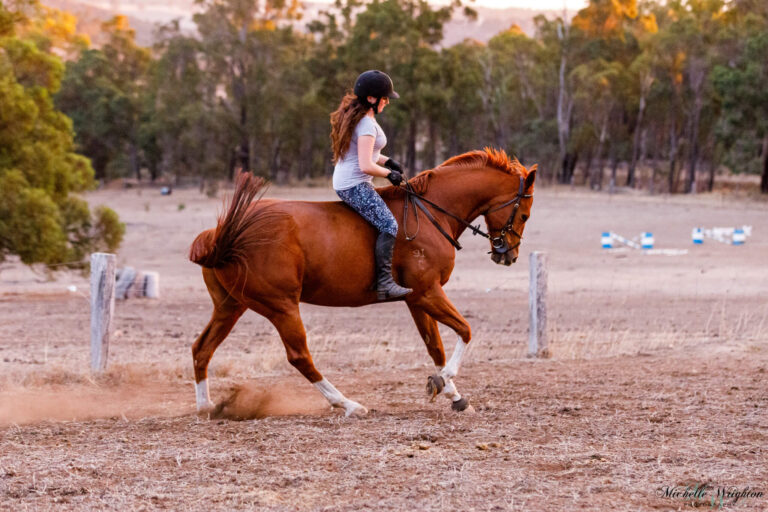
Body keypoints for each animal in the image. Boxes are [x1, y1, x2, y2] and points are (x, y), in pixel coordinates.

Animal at [190, 147, 536, 416]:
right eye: (524, 215)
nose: (508, 255)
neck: (431, 213)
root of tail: (223, 234)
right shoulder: (428, 293)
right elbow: (465, 331)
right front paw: (442, 382)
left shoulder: (417, 299)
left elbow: (434, 346)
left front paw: (454, 396)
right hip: (281, 306)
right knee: (300, 357)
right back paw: (348, 404)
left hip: (231, 306)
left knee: (202, 348)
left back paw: (207, 407)